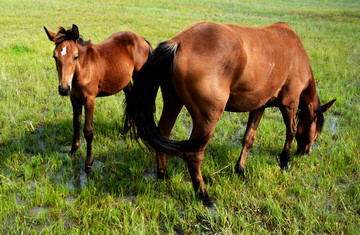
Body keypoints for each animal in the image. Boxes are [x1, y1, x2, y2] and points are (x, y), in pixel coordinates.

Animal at [44, 24, 152, 171]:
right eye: (54, 57)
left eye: (75, 56)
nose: (64, 89)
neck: (83, 68)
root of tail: (142, 39)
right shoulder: (74, 98)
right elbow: (76, 122)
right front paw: (73, 151)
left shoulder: (89, 99)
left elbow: (88, 130)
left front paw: (88, 162)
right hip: (124, 80)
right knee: (131, 99)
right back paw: (125, 130)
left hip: (138, 76)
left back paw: (138, 134)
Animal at [125, 22, 336, 206]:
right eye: (316, 130)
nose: (306, 152)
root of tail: (179, 42)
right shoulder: (289, 103)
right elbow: (291, 131)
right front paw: (284, 162)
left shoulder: (259, 106)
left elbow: (249, 138)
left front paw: (240, 170)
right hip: (208, 118)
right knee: (193, 154)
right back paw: (203, 195)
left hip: (173, 103)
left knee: (163, 135)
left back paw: (163, 174)